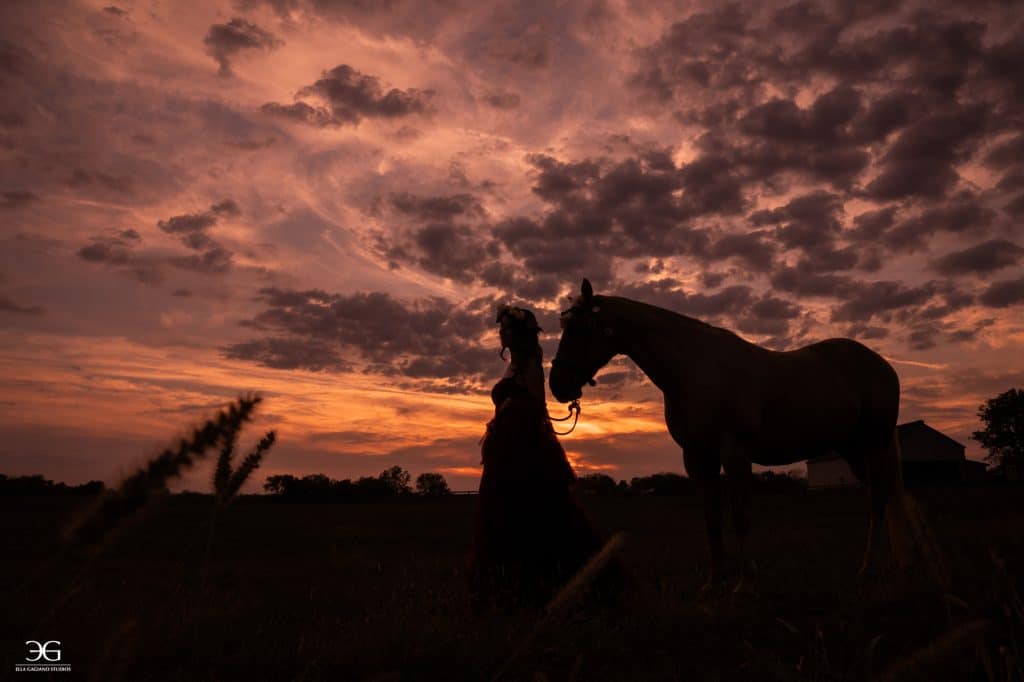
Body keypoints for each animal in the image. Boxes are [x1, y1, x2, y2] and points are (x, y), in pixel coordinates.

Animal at [549, 278, 910, 595]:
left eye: (581, 329)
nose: (557, 385)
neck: (694, 368)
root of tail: (882, 366)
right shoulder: (698, 456)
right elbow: (712, 519)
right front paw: (713, 584)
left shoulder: (734, 452)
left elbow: (740, 515)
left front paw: (745, 584)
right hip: (853, 450)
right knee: (882, 495)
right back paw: (890, 566)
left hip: (874, 444)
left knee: (879, 499)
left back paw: (870, 569)